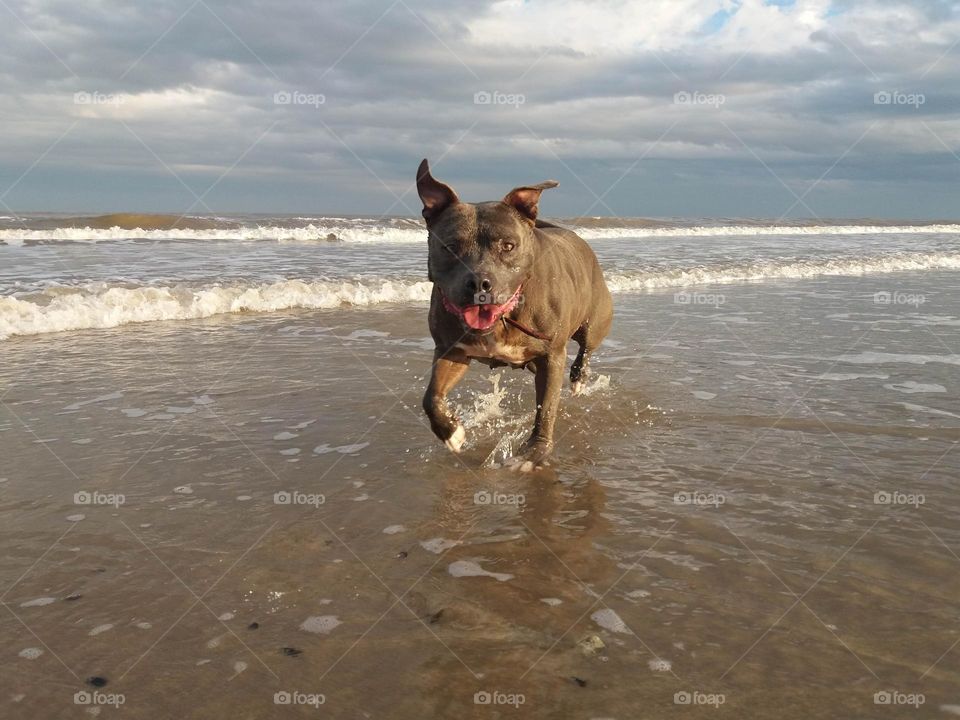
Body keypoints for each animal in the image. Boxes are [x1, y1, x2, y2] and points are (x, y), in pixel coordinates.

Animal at [414, 159, 612, 472]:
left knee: (586, 348)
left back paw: (579, 378)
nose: (479, 282)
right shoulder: (451, 351)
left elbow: (546, 409)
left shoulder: (552, 357)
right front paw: (451, 432)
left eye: (507, 246)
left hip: (595, 322)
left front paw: (534, 452)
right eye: (449, 247)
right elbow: (431, 396)